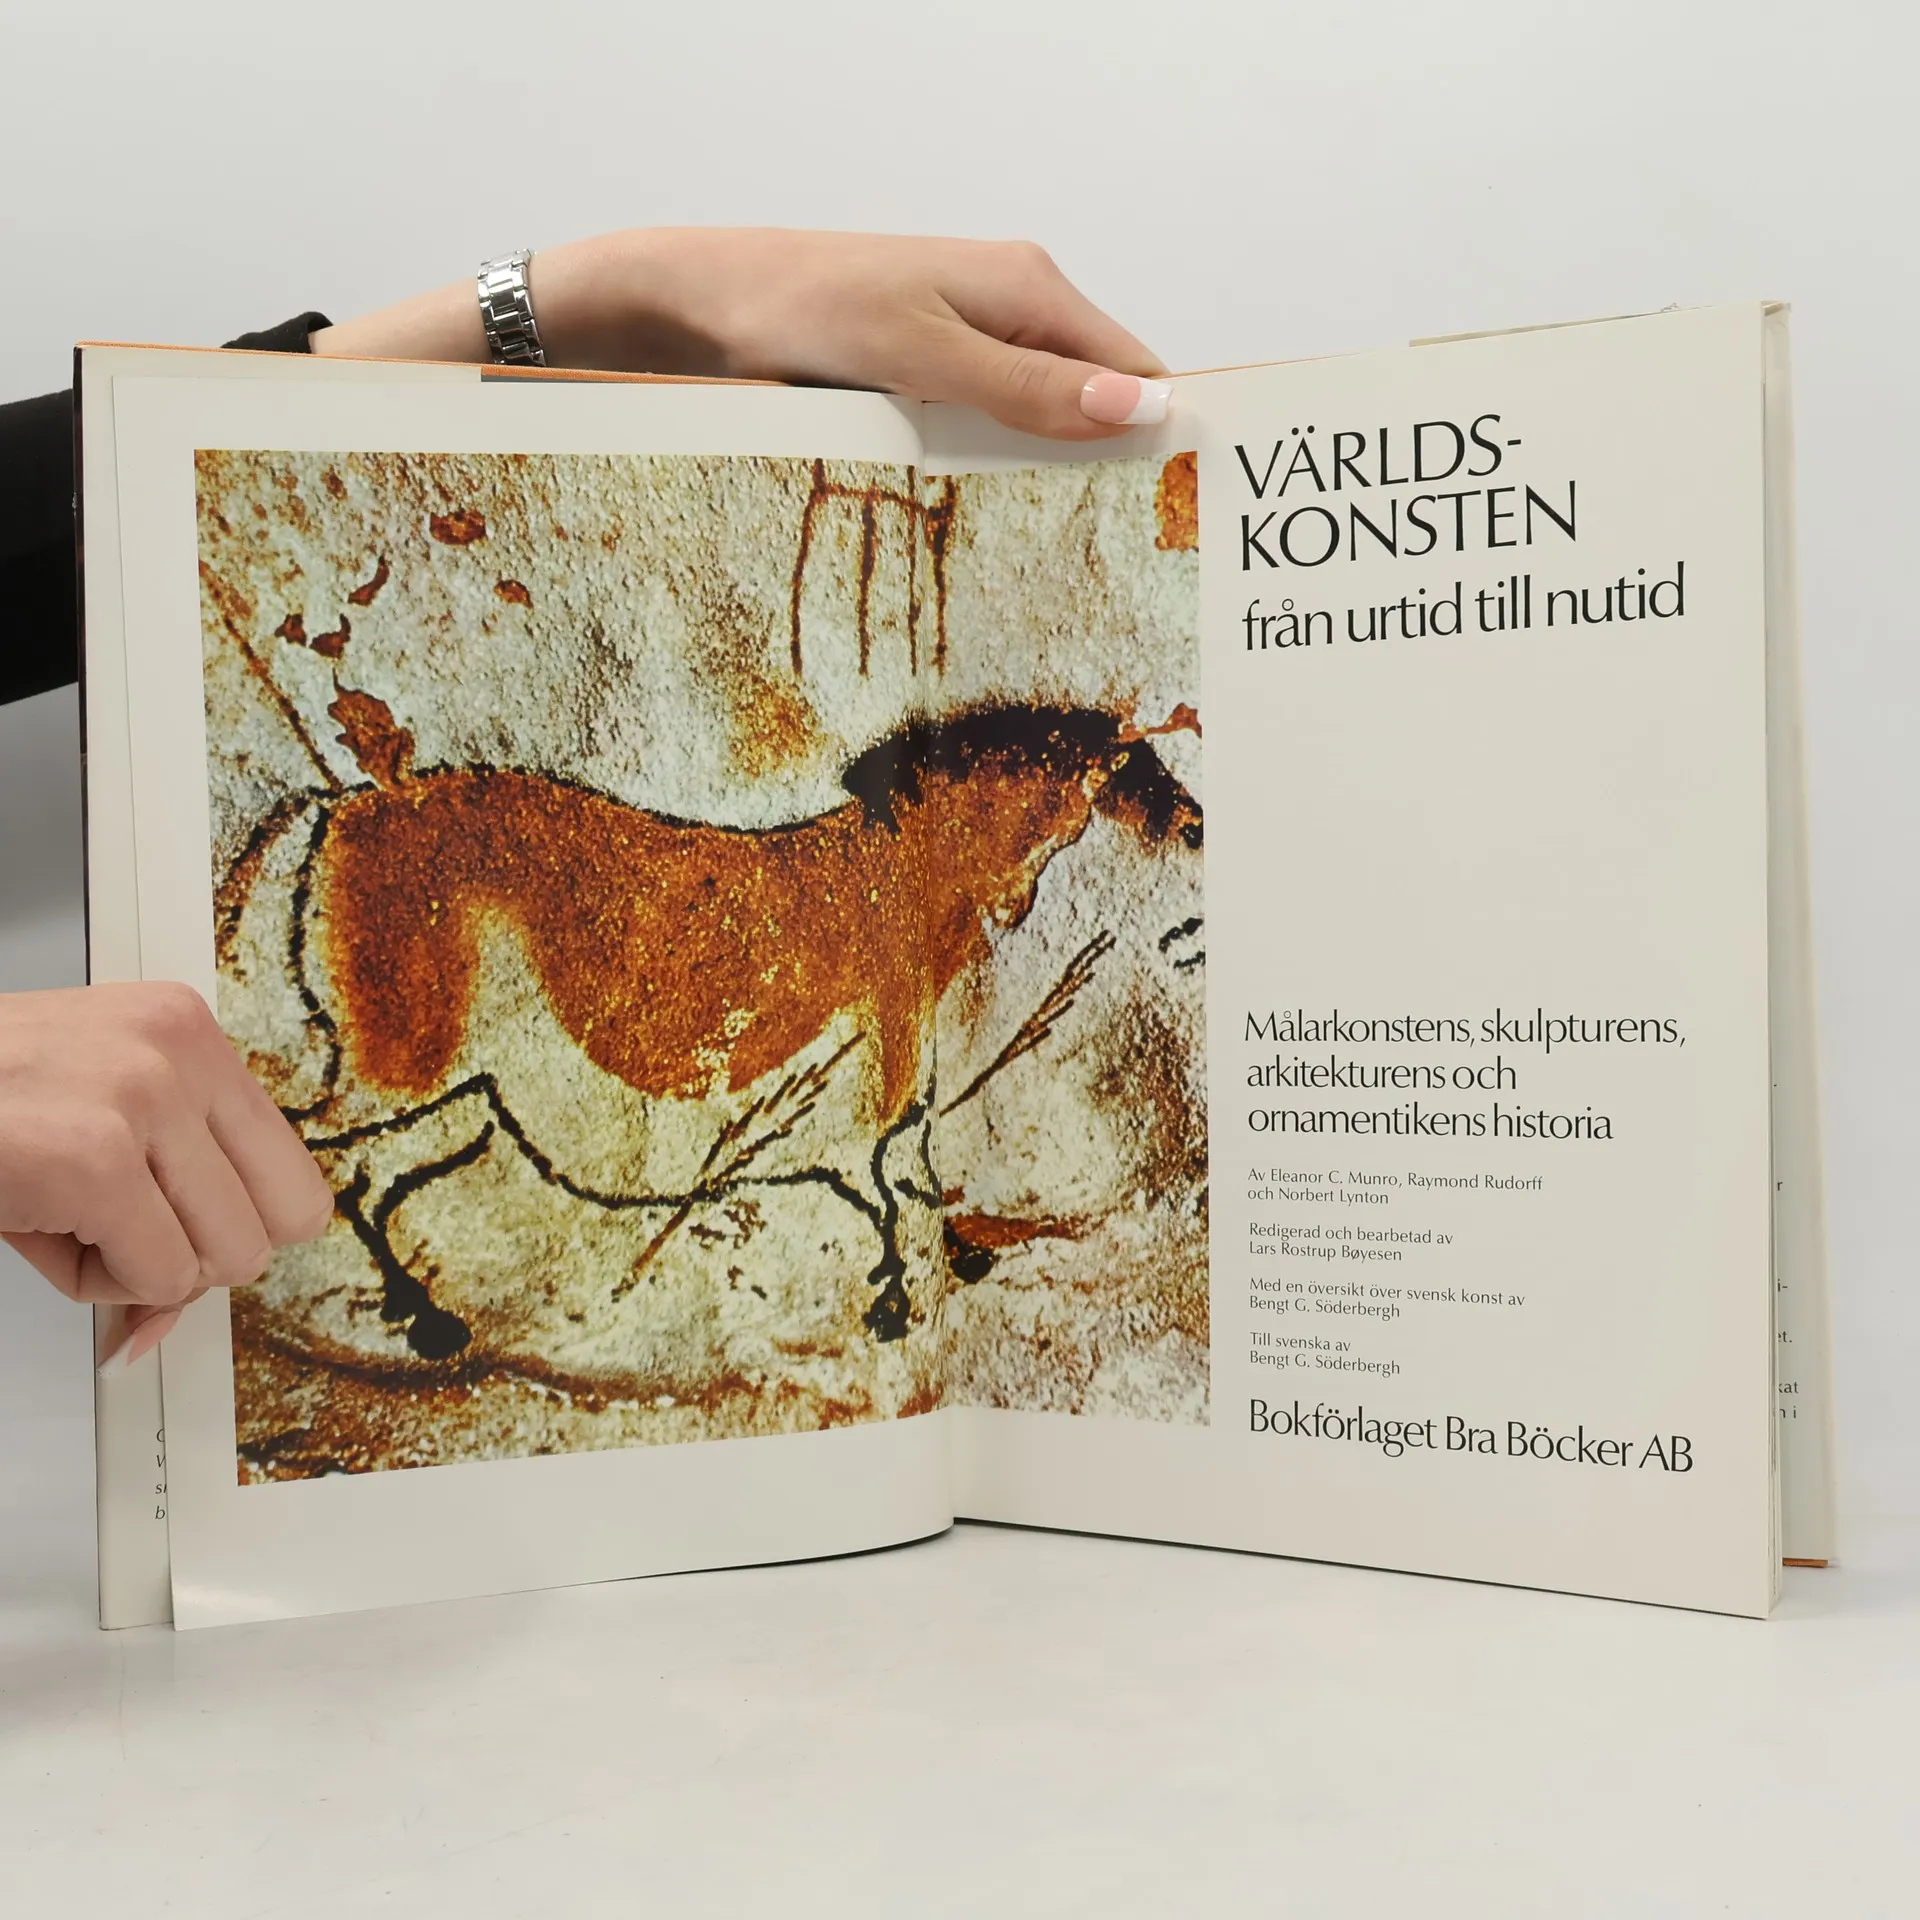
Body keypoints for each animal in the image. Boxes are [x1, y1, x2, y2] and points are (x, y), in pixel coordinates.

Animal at [264, 697, 1203, 1357]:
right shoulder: (871, 1074)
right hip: (402, 1064)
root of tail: (341, 809)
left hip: (460, 1101)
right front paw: (898, 1301)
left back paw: (412, 1310)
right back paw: (417, 1323)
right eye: (1137, 773)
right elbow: (884, 1182)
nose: (1196, 825)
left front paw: (949, 1257)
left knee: (371, 1181)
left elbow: (901, 1172)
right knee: (323, 1159)